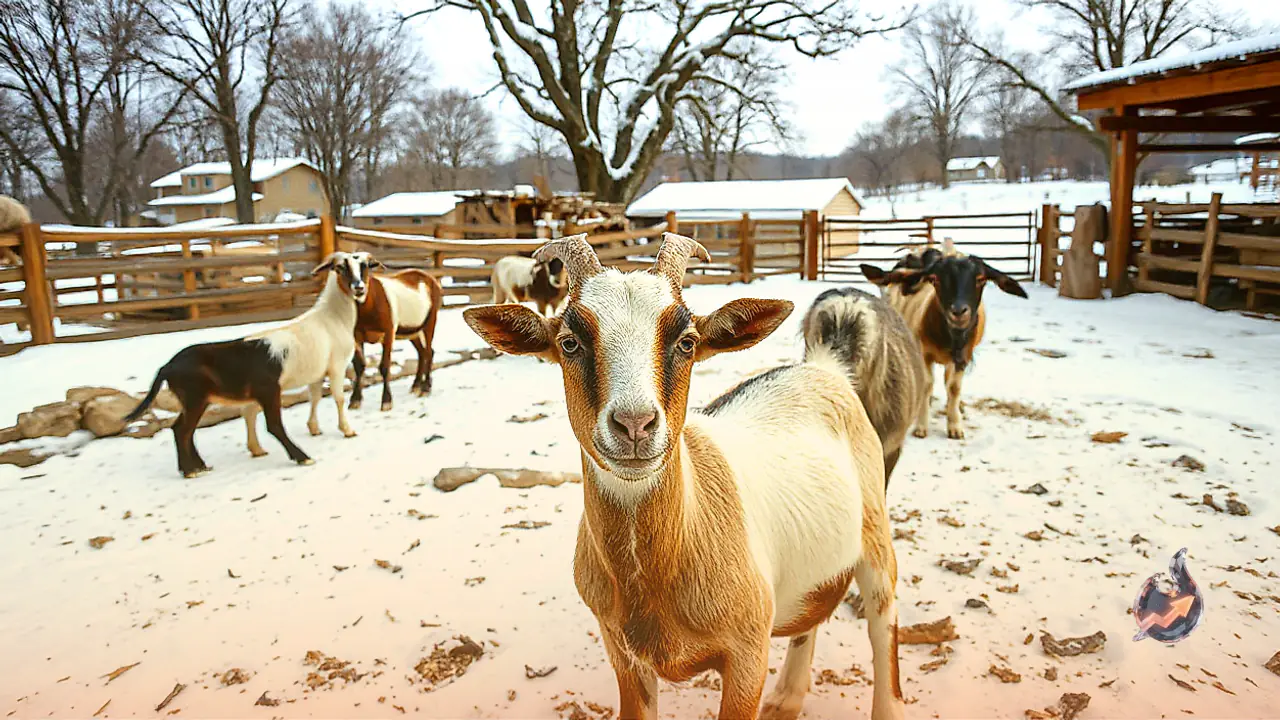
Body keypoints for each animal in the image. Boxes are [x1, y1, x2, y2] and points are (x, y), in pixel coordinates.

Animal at [126, 251, 365, 477]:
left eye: (363, 266)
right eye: (340, 268)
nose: (359, 287)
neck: (331, 318)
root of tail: (167, 367)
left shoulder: (315, 373)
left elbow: (313, 398)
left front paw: (313, 430)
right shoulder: (335, 366)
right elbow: (337, 398)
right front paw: (347, 430)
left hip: (195, 400)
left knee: (181, 429)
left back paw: (199, 466)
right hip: (206, 397)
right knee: (186, 430)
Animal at [348, 255, 444, 411]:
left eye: (365, 267)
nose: (358, 288)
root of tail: (432, 280)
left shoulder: (389, 333)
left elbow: (384, 366)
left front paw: (386, 401)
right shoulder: (356, 336)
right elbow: (359, 365)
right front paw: (355, 400)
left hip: (430, 321)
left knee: (429, 351)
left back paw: (425, 388)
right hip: (412, 330)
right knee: (422, 352)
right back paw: (416, 385)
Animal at [464, 233, 904, 720]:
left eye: (687, 341)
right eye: (569, 342)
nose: (635, 425)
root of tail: (824, 369)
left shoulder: (748, 654)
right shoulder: (624, 655)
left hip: (876, 539)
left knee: (883, 624)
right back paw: (786, 699)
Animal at [861, 248, 1028, 440]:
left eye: (980, 279)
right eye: (935, 279)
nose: (958, 311)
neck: (951, 337)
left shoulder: (963, 356)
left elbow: (954, 387)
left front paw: (955, 425)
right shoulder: (924, 352)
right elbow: (927, 384)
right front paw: (921, 426)